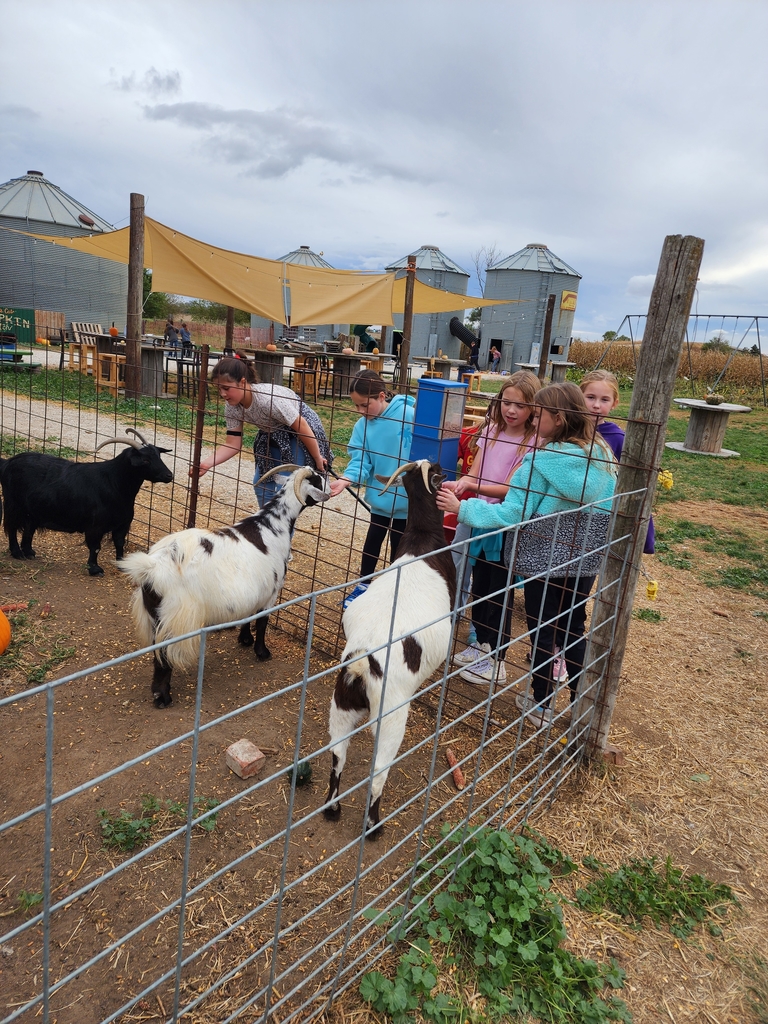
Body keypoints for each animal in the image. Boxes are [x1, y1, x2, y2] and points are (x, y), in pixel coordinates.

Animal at [0, 428, 173, 576]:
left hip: (34, 509)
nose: (169, 475)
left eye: (159, 456)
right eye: (145, 460)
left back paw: (29, 552)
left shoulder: (122, 524)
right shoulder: (95, 526)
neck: (114, 483)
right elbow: (95, 547)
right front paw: (95, 569)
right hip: (13, 505)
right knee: (12, 527)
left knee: (29, 528)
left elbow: (119, 543)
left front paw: (122, 565)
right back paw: (17, 553)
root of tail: (8, 463)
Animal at [120, 464, 331, 708]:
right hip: (176, 615)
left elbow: (248, 616)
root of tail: (152, 567)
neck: (272, 526)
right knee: (164, 653)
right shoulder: (271, 592)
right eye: (318, 479)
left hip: (154, 613)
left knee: (157, 651)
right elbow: (262, 622)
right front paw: (262, 652)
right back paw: (163, 697)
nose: (331, 486)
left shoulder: (253, 591)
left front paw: (245, 640)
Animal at [324, 460, 456, 838]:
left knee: (337, 756)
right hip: (391, 715)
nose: (451, 469)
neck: (423, 540)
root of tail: (360, 666)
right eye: (438, 470)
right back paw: (373, 826)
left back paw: (333, 808)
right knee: (378, 771)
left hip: (340, 707)